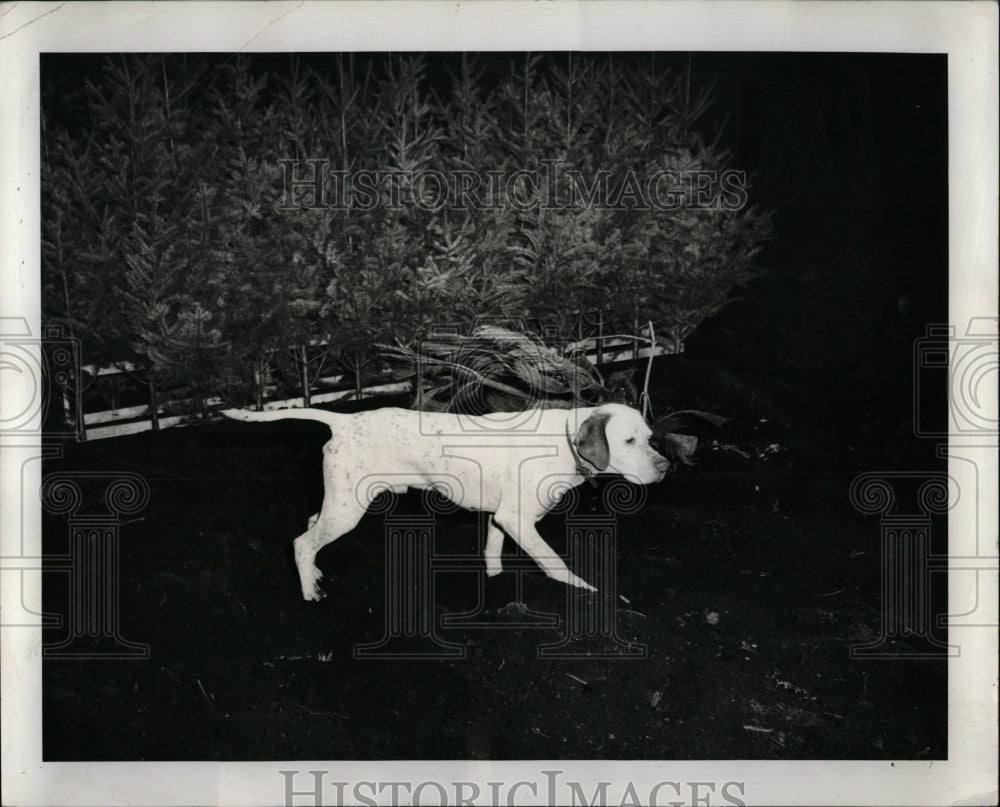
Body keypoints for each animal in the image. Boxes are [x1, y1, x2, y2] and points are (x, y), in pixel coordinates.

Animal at [223, 404, 668, 600]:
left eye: (649, 438)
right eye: (629, 441)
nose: (665, 466)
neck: (564, 439)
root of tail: (345, 420)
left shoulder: (500, 520)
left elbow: (492, 556)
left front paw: (494, 585)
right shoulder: (518, 520)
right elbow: (555, 564)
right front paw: (585, 591)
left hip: (342, 504)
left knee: (311, 526)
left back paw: (314, 574)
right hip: (347, 511)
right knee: (302, 543)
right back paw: (308, 591)